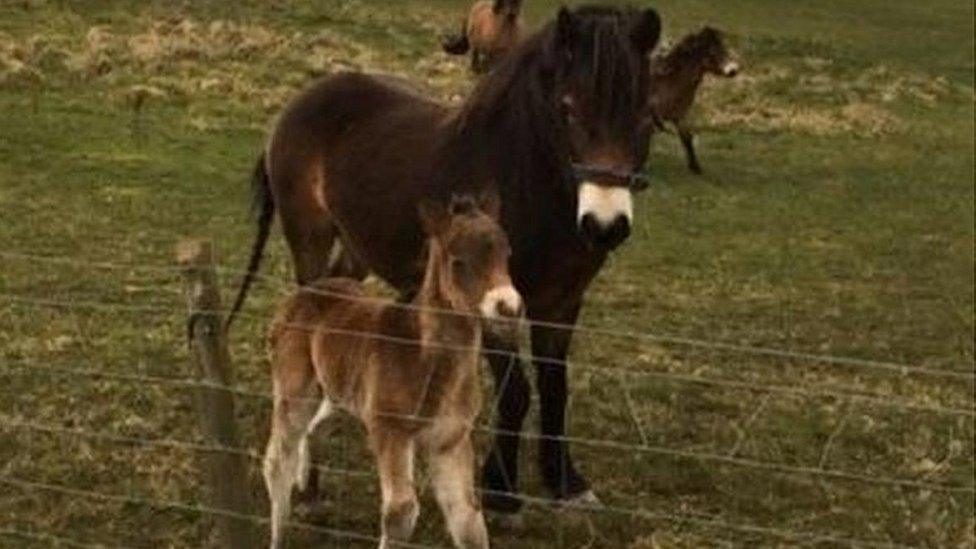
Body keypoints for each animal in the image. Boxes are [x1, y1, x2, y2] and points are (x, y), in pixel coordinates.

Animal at [260, 195, 520, 544]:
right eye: (458, 262)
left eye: (507, 254)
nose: (508, 307)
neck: (429, 363)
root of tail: (302, 294)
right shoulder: (390, 429)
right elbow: (401, 512)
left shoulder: (451, 438)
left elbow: (467, 518)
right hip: (294, 387)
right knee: (277, 459)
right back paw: (279, 533)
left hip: (339, 390)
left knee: (314, 428)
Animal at [648, 26, 740, 172]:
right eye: (712, 51)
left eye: (724, 46)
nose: (733, 70)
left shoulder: (681, 115)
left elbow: (687, 138)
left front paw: (695, 167)